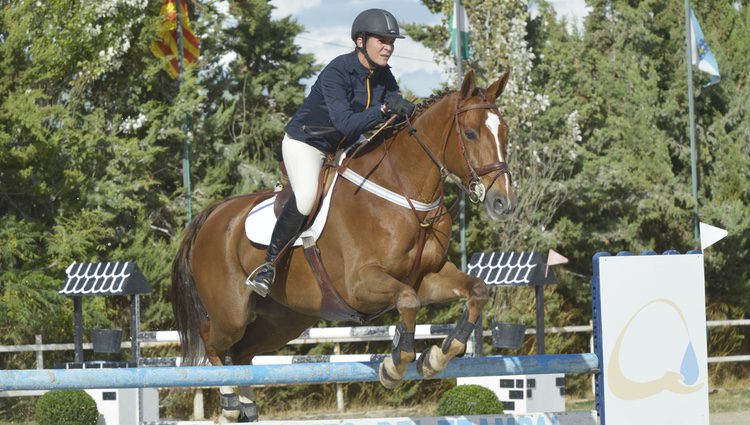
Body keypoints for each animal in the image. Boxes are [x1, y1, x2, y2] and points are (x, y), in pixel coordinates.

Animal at [172, 70, 516, 420]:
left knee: (242, 353)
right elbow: (407, 301)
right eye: (470, 133)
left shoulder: (427, 277)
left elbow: (476, 290)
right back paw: (229, 403)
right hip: (231, 313)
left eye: (504, 133)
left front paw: (437, 356)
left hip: (285, 319)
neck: (406, 195)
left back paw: (247, 406)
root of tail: (213, 214)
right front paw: (394, 365)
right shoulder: (359, 285)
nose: (503, 203)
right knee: (214, 343)